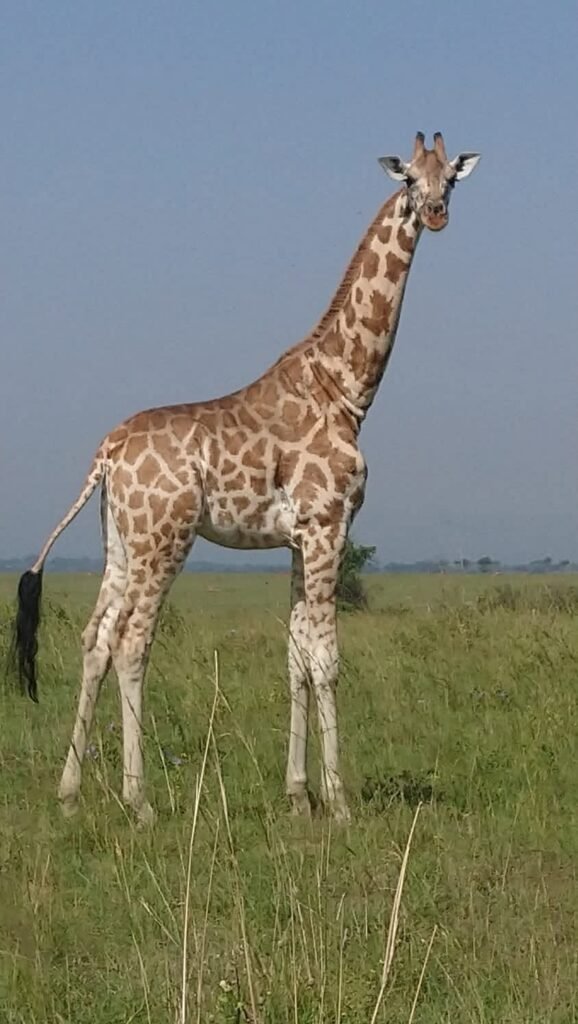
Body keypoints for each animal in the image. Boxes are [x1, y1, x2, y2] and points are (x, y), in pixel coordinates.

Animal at [13, 132, 480, 824]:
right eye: (408, 180)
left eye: (449, 178)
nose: (437, 213)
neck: (346, 389)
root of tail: (106, 453)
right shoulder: (329, 525)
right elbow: (327, 659)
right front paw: (339, 801)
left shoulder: (298, 539)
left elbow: (295, 656)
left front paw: (298, 796)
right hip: (165, 539)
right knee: (131, 641)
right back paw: (139, 801)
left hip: (120, 542)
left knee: (95, 637)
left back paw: (70, 793)